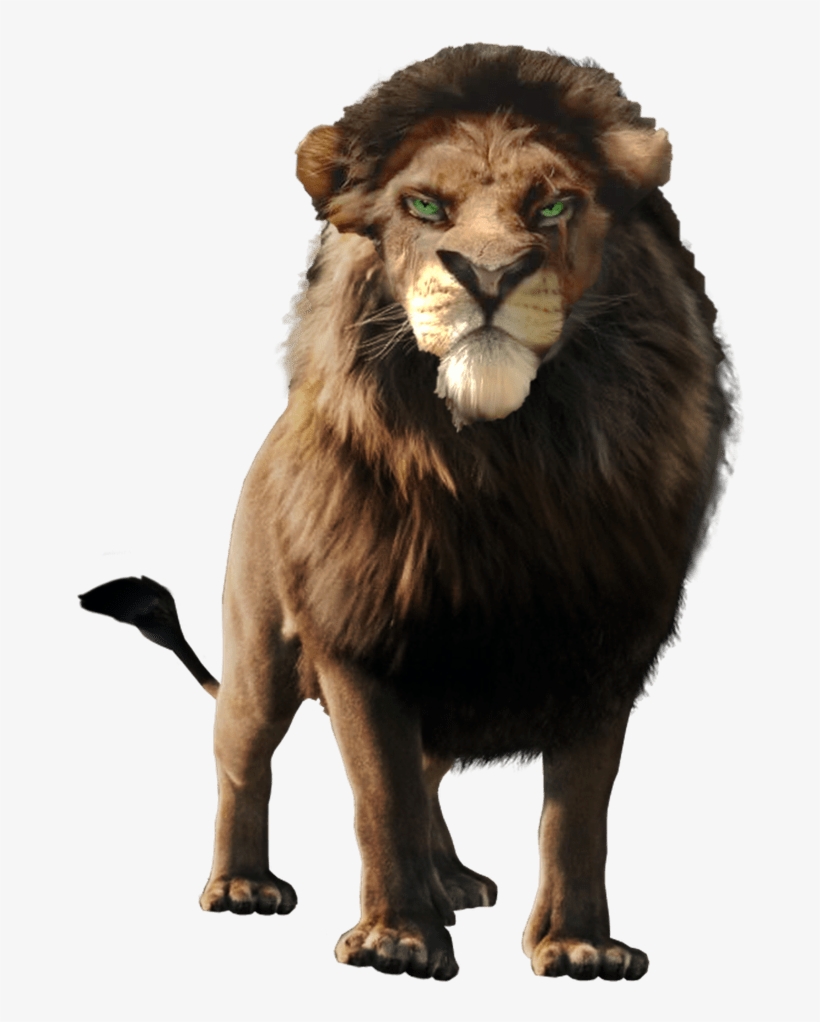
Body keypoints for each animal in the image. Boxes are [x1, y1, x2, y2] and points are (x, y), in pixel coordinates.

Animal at [81, 44, 732, 982]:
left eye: (555, 204)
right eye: (424, 206)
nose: (490, 274)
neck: (502, 464)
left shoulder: (604, 645)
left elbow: (578, 815)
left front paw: (578, 945)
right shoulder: (361, 642)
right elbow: (379, 796)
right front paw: (398, 940)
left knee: (428, 777)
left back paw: (450, 880)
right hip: (259, 657)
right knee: (242, 758)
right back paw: (243, 885)